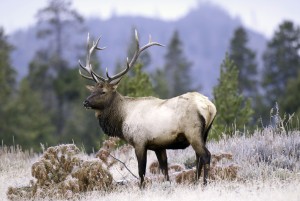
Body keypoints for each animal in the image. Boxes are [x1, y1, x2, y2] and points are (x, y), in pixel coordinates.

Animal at [78, 29, 217, 187]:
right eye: (92, 90)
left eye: (103, 92)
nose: (85, 102)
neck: (122, 118)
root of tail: (209, 106)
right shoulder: (159, 145)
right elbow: (164, 170)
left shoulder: (139, 142)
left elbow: (141, 171)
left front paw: (141, 188)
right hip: (204, 133)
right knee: (198, 157)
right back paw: (195, 182)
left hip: (192, 131)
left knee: (206, 155)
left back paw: (204, 183)